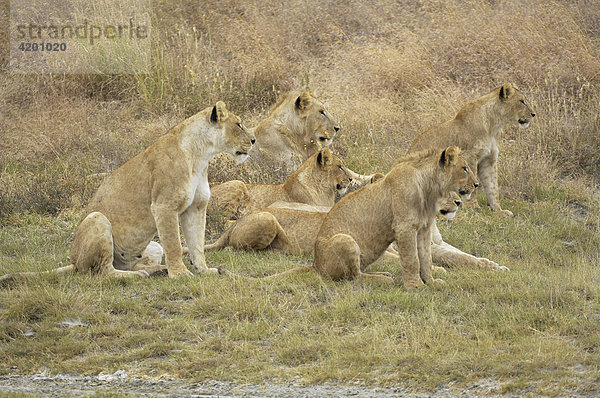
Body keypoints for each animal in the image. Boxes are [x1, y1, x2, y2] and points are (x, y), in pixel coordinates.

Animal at [0, 102, 254, 282]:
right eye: (239, 124)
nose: (253, 140)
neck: (202, 156)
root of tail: (73, 260)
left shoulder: (196, 208)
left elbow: (196, 243)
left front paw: (204, 270)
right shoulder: (164, 206)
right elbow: (174, 243)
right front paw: (180, 274)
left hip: (152, 246)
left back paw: (156, 270)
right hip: (97, 219)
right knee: (102, 272)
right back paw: (140, 275)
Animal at [408, 82, 536, 216]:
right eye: (522, 101)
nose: (533, 114)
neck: (493, 125)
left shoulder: (489, 159)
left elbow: (493, 187)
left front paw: (499, 211)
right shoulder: (470, 156)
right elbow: (472, 183)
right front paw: (472, 207)